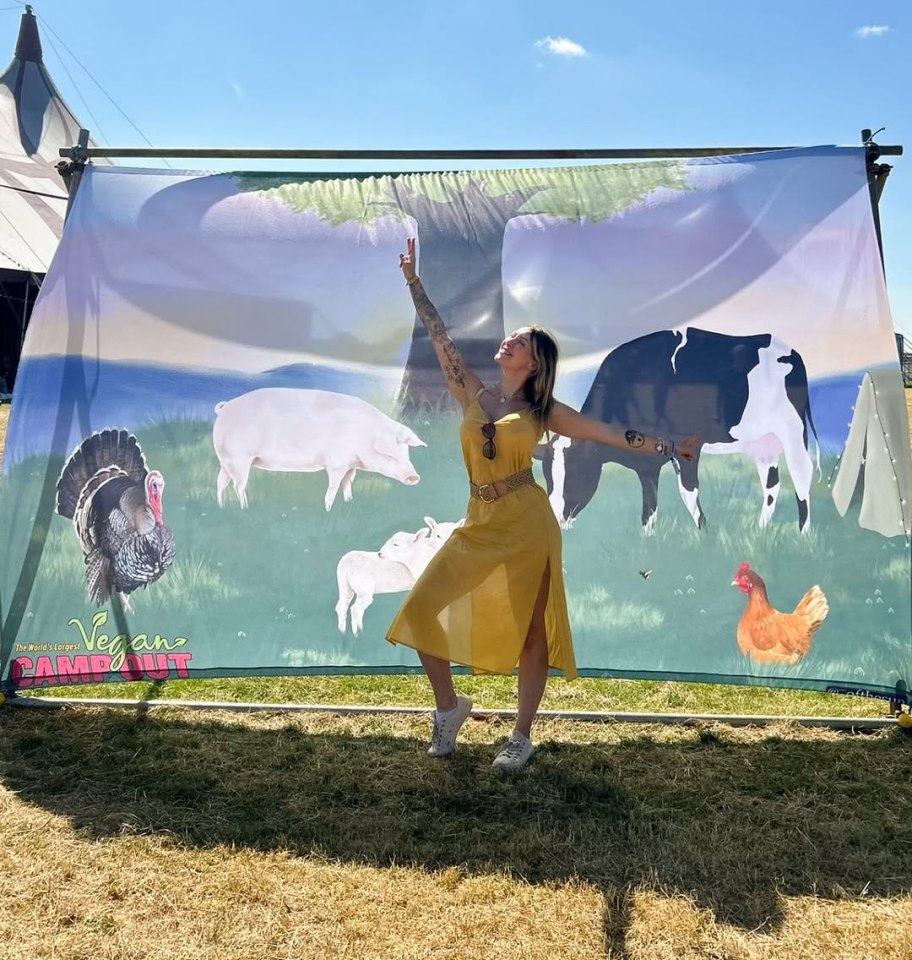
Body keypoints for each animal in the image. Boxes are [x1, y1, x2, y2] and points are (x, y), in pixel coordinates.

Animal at [540, 330, 820, 536]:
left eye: (577, 471)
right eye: (548, 477)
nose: (556, 516)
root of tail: (791, 350)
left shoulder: (688, 445)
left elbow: (688, 491)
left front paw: (704, 533)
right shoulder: (646, 462)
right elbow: (649, 502)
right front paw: (648, 539)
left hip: (792, 430)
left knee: (801, 474)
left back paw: (804, 534)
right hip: (761, 441)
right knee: (771, 483)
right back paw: (761, 530)